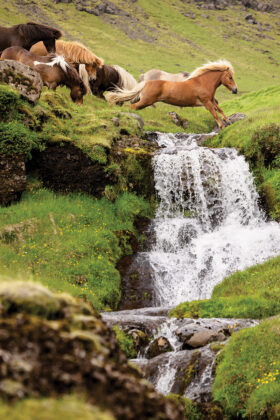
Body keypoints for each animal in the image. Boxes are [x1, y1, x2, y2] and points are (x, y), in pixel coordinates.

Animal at [106, 58, 237, 128]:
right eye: (230, 77)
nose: (235, 90)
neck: (202, 83)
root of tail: (146, 82)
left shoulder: (211, 100)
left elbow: (220, 110)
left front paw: (228, 121)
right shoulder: (206, 102)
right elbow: (215, 114)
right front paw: (222, 126)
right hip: (146, 101)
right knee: (132, 106)